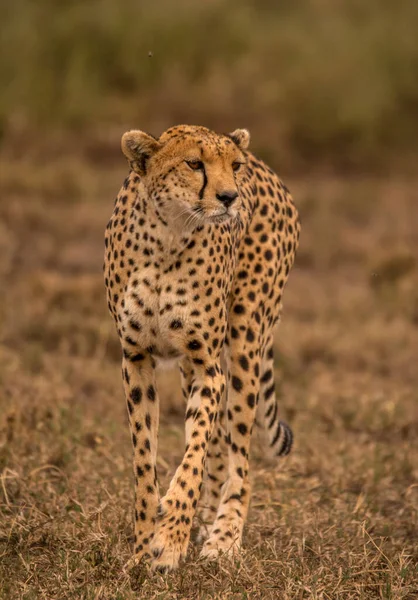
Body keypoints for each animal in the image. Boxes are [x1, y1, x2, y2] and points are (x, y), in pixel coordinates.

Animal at [104, 124, 300, 568]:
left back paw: (224, 536)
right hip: (187, 368)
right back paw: (208, 520)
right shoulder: (136, 359)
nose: (229, 197)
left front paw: (171, 538)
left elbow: (192, 456)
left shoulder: (209, 364)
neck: (167, 237)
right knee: (219, 445)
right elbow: (145, 462)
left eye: (234, 166)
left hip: (245, 339)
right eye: (194, 163)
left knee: (240, 454)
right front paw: (143, 547)